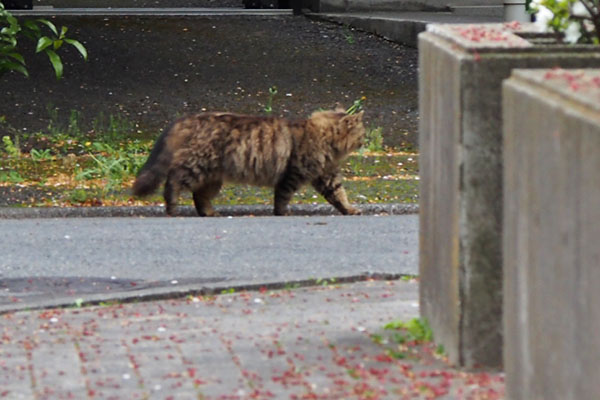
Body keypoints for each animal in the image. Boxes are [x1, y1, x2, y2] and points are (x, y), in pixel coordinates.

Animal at [132, 107, 366, 216]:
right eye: (362, 133)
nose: (366, 140)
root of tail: (188, 118)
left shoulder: (326, 175)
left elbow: (339, 195)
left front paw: (349, 210)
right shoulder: (293, 174)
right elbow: (282, 198)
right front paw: (282, 213)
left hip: (211, 178)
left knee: (199, 196)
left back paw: (209, 212)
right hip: (197, 166)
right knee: (173, 181)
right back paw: (173, 208)